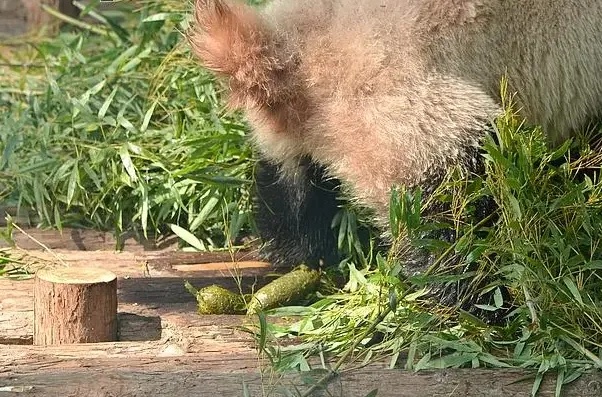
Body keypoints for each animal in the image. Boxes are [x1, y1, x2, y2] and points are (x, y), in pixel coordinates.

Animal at [190, 0, 600, 316]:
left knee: (290, 192)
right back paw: (485, 304)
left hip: (289, 140)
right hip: (409, 113)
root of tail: (286, 58)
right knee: (455, 213)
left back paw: (303, 254)